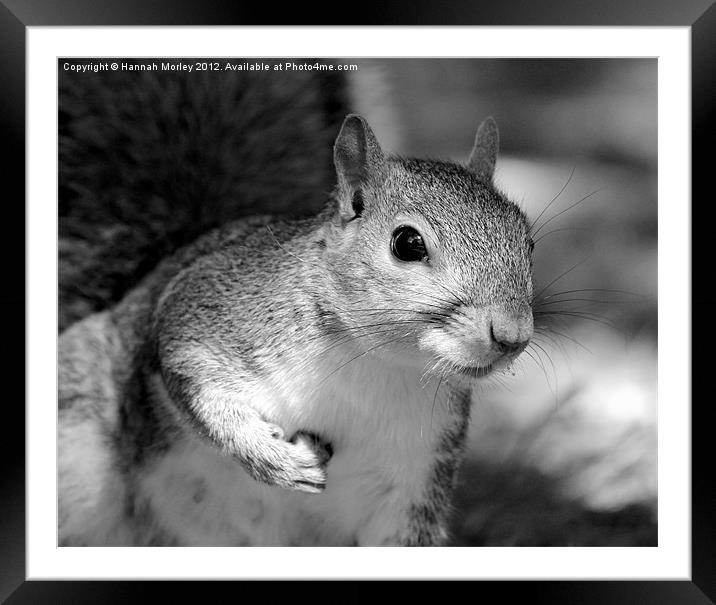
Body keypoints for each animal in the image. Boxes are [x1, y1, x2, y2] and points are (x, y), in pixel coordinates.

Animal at [58, 63, 536, 544]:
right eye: (407, 243)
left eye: (527, 243)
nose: (512, 335)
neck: (371, 364)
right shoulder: (197, 316)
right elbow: (198, 389)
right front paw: (272, 459)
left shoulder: (416, 482)